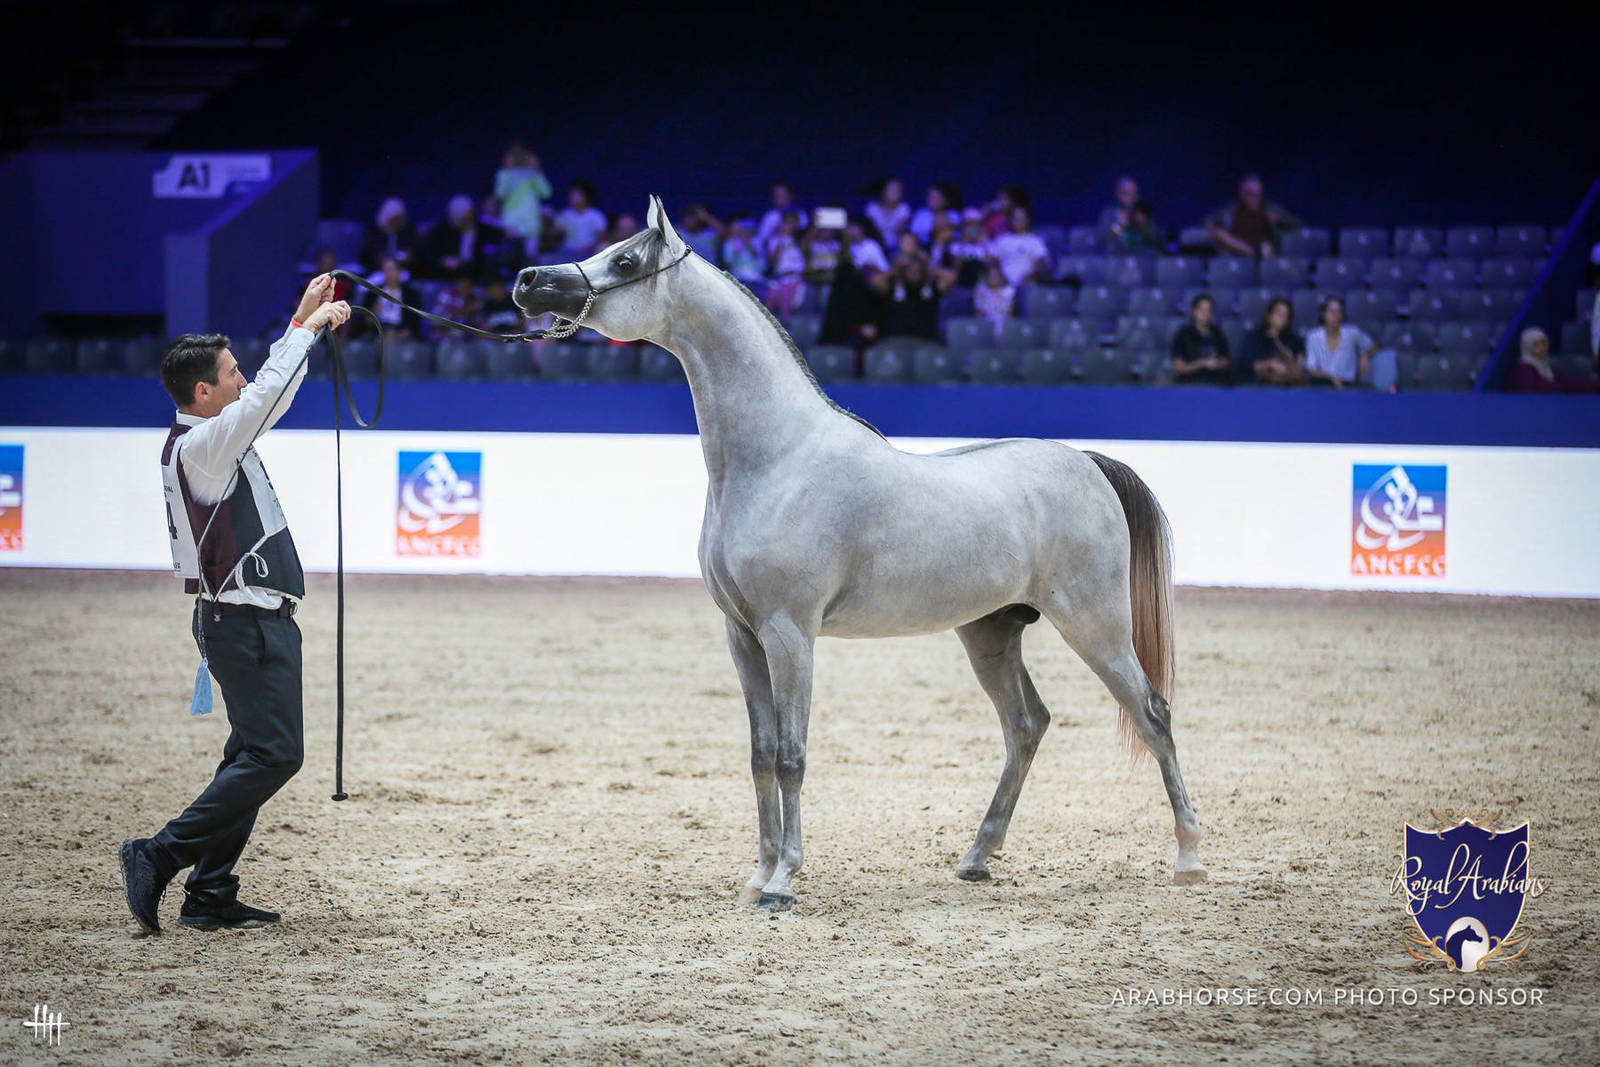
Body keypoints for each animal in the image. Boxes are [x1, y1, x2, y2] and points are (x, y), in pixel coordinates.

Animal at [512, 197, 1206, 910]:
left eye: (625, 260)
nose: (528, 280)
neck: (778, 460)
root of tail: (1087, 463)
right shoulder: (742, 636)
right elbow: (761, 753)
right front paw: (760, 871)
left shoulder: (790, 633)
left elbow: (792, 754)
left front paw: (783, 881)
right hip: (990, 633)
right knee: (1026, 725)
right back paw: (976, 857)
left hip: (1095, 625)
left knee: (1153, 714)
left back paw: (1188, 858)